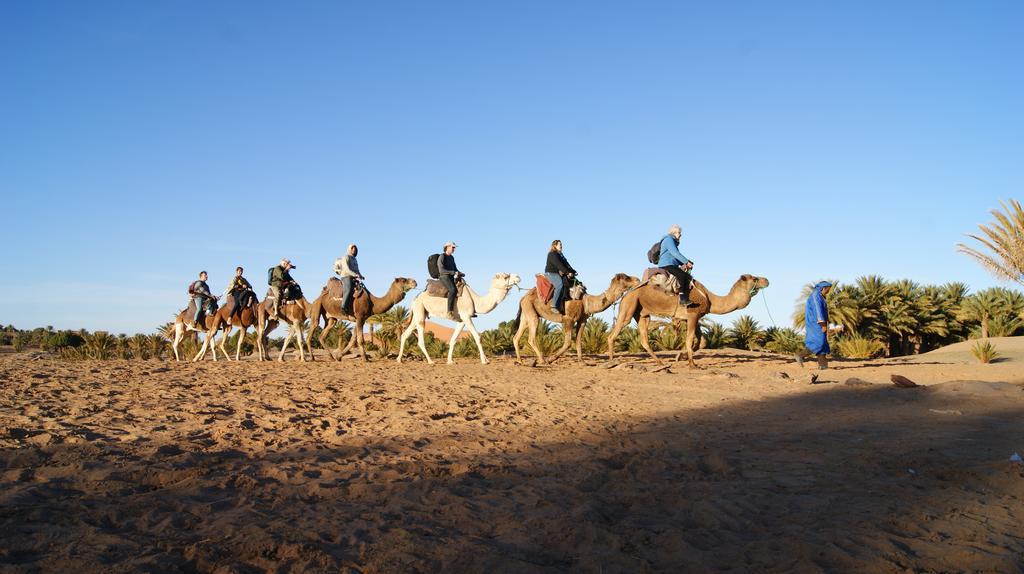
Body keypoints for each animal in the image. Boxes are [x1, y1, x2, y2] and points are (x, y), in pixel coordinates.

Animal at [606, 272, 770, 366]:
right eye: (755, 278)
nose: (767, 280)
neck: (710, 298)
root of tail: (626, 294)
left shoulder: (695, 317)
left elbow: (702, 342)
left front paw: (680, 356)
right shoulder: (692, 314)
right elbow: (690, 339)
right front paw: (692, 363)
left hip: (642, 313)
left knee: (644, 338)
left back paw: (659, 361)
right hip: (629, 306)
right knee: (614, 333)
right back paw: (612, 360)